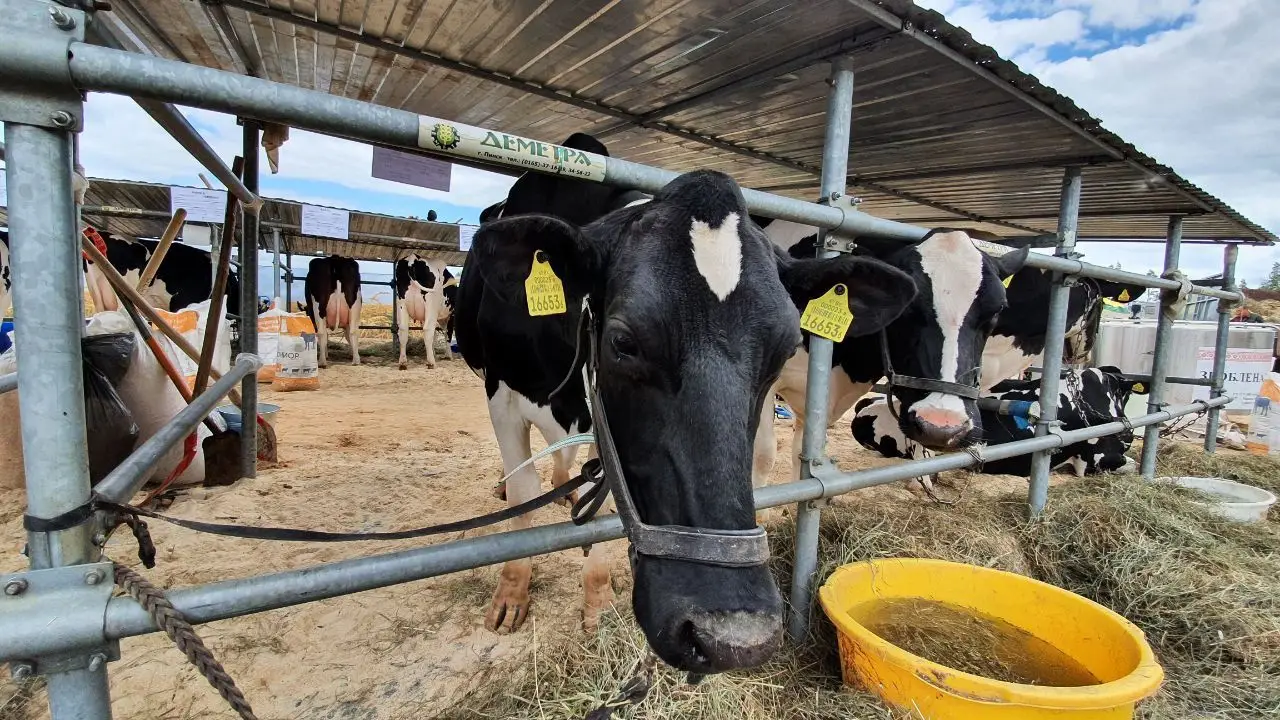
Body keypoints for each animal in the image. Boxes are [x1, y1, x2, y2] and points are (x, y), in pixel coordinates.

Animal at [456, 148, 915, 672]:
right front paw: (512, 594)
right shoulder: (501, 396)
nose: (734, 637)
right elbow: (522, 490)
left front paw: (597, 603)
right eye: (623, 342)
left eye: (785, 351)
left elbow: (601, 505)